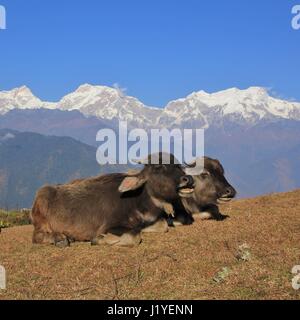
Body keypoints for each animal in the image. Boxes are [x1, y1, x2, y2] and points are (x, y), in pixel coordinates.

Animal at [31, 153, 195, 248]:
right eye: (158, 166)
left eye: (178, 165)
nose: (188, 179)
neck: (137, 201)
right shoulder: (108, 226)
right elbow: (133, 236)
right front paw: (98, 240)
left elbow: (162, 225)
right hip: (41, 218)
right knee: (37, 236)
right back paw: (60, 239)